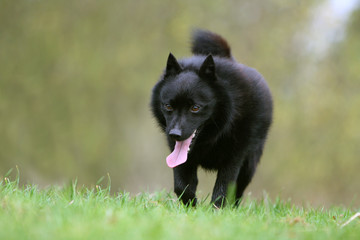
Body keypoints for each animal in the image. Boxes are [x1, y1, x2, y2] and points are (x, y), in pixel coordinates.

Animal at [150, 29, 272, 206]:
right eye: (168, 106)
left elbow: (223, 190)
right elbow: (182, 186)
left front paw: (217, 210)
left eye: (195, 108)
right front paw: (192, 207)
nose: (174, 134)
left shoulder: (233, 158)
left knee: (239, 190)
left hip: (249, 164)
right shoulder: (181, 157)